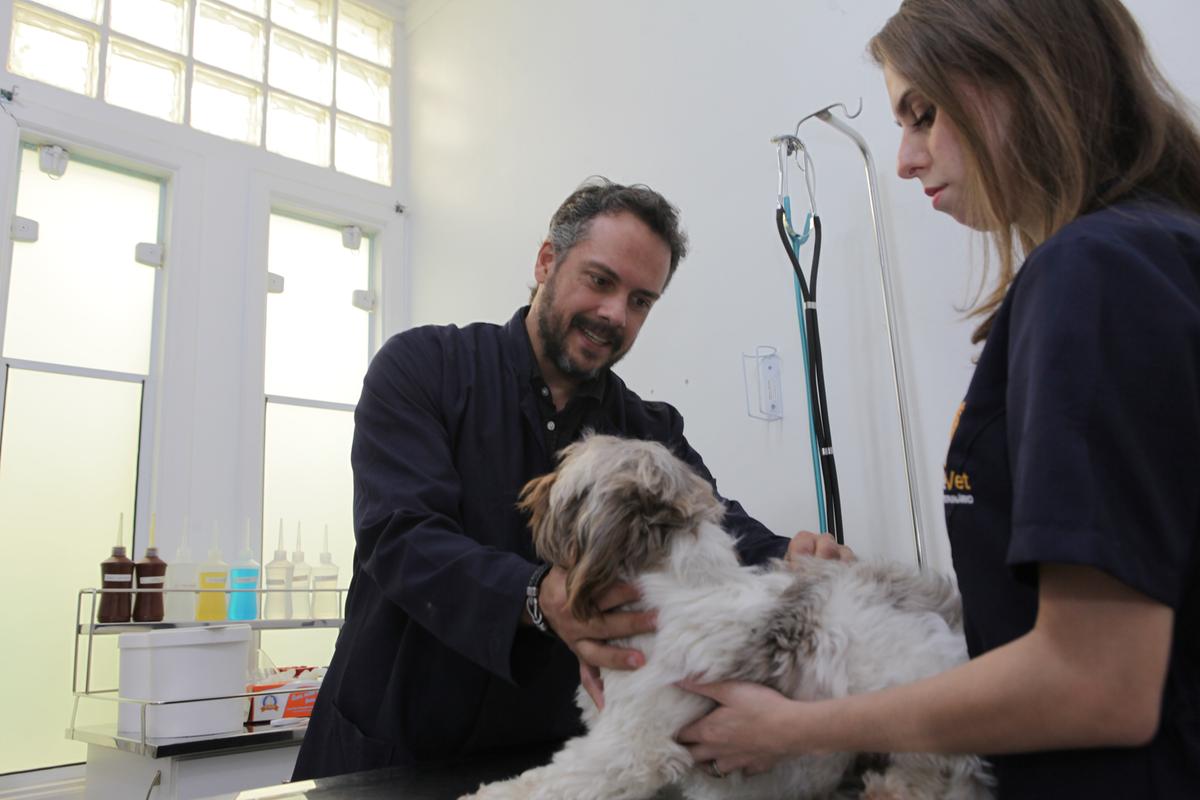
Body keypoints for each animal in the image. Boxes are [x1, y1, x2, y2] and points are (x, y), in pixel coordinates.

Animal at [460, 438, 993, 800]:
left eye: (570, 472)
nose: (532, 489)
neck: (675, 590)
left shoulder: (632, 748)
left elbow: (550, 781)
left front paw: (487, 793)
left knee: (944, 774)